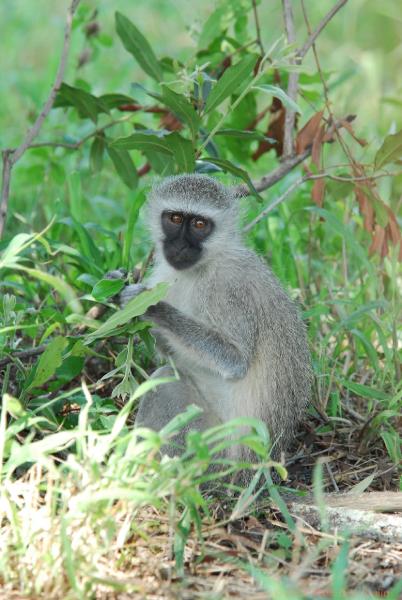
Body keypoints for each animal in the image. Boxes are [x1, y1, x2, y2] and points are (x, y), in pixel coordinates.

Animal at [118, 175, 312, 478]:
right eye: (175, 218)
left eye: (200, 224)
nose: (180, 246)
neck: (201, 269)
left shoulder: (228, 290)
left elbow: (235, 361)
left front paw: (150, 307)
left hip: (211, 454)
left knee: (166, 383)